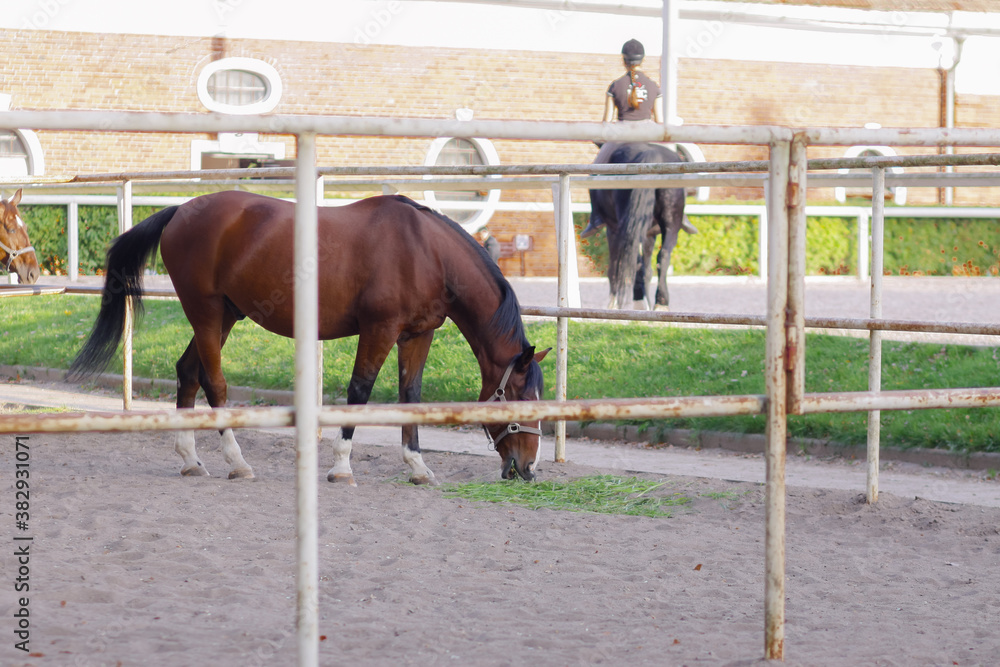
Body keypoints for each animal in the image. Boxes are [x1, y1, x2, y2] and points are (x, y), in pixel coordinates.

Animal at [68, 193, 556, 486]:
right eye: (519, 400)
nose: (528, 468)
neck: (427, 252)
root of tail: (180, 210)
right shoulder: (379, 330)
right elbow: (359, 392)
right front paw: (341, 467)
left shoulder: (417, 335)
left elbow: (410, 396)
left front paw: (418, 466)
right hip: (206, 312)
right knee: (214, 383)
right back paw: (236, 461)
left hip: (226, 315)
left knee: (188, 373)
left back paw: (191, 459)